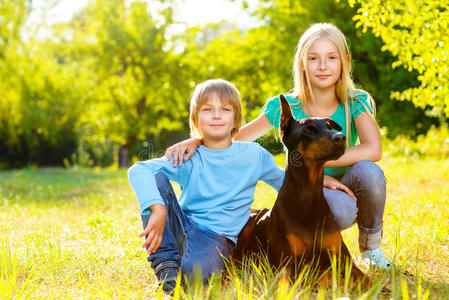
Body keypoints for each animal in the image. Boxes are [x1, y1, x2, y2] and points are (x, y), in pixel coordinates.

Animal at [231, 95, 368, 288]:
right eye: (309, 129)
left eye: (329, 126)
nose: (341, 137)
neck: (308, 194)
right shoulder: (291, 267)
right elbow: (327, 276)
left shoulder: (343, 259)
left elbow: (367, 279)